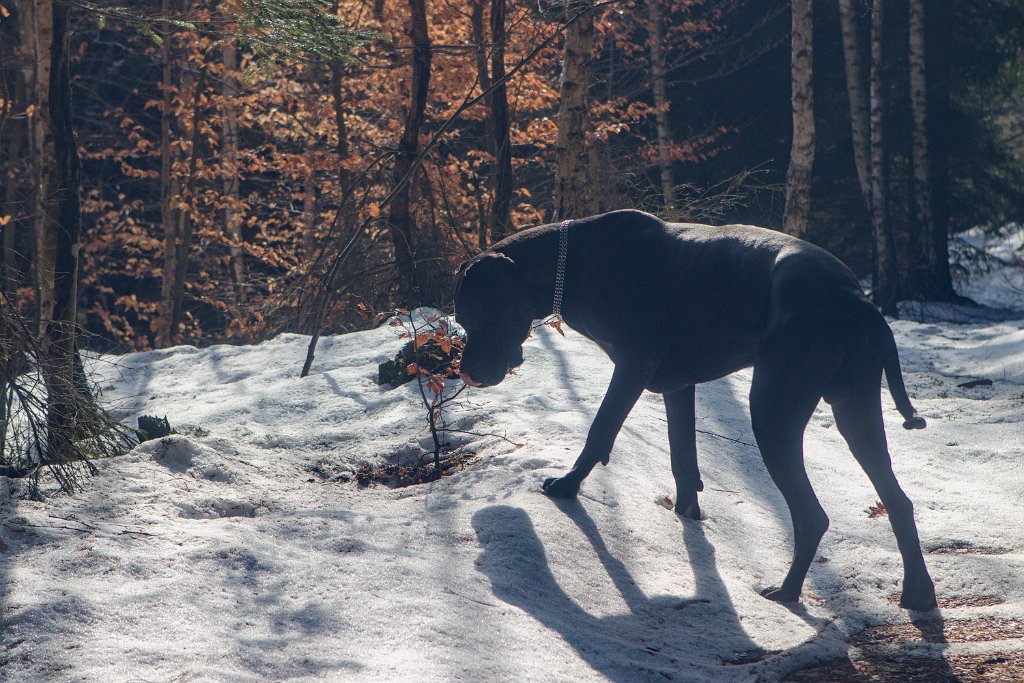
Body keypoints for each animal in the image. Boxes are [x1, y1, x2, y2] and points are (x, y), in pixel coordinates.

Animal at [456, 208, 937, 610]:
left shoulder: (634, 364)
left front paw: (568, 485)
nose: (468, 375)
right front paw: (687, 513)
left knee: (812, 515)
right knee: (898, 501)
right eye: (461, 321)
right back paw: (918, 592)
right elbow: (682, 452)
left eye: (474, 318)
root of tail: (858, 299)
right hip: (855, 409)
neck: (573, 263)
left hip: (773, 410)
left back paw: (788, 591)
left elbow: (601, 430)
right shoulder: (678, 384)